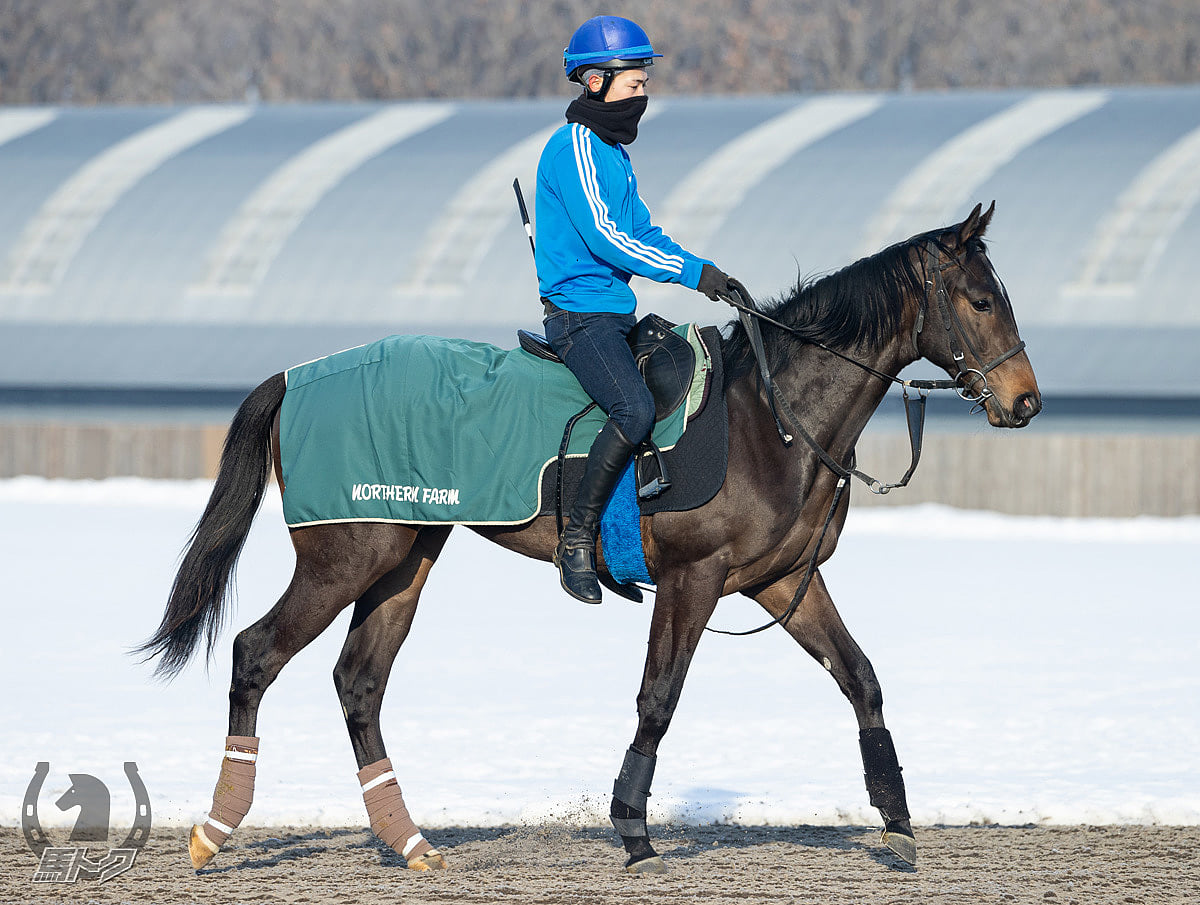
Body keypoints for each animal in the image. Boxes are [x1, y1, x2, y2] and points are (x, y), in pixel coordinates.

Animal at [140, 202, 1041, 868]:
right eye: (980, 300)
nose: (1026, 401)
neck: (773, 416)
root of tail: (299, 375)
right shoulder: (692, 578)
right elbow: (659, 697)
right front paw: (632, 826)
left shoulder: (786, 581)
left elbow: (862, 680)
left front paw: (897, 822)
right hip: (345, 556)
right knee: (256, 653)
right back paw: (212, 832)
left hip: (402, 558)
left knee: (359, 681)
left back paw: (411, 840)